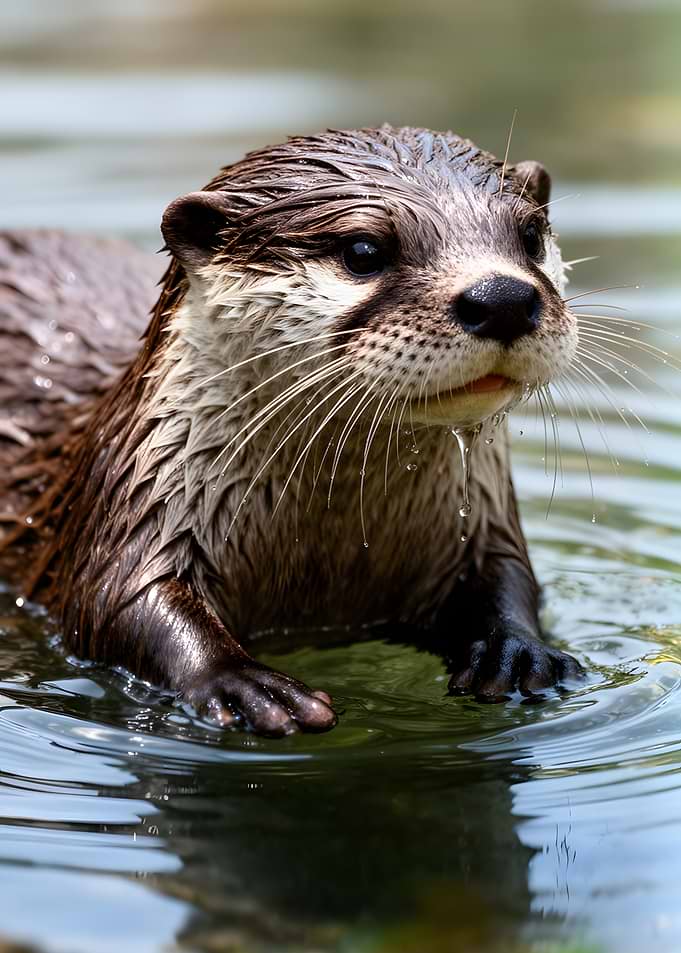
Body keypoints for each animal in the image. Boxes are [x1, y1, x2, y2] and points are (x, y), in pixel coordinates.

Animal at [0, 126, 583, 735]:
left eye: (530, 235)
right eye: (363, 251)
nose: (503, 298)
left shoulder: (483, 520)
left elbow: (510, 578)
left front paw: (515, 651)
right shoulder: (135, 497)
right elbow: (116, 600)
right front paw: (240, 683)